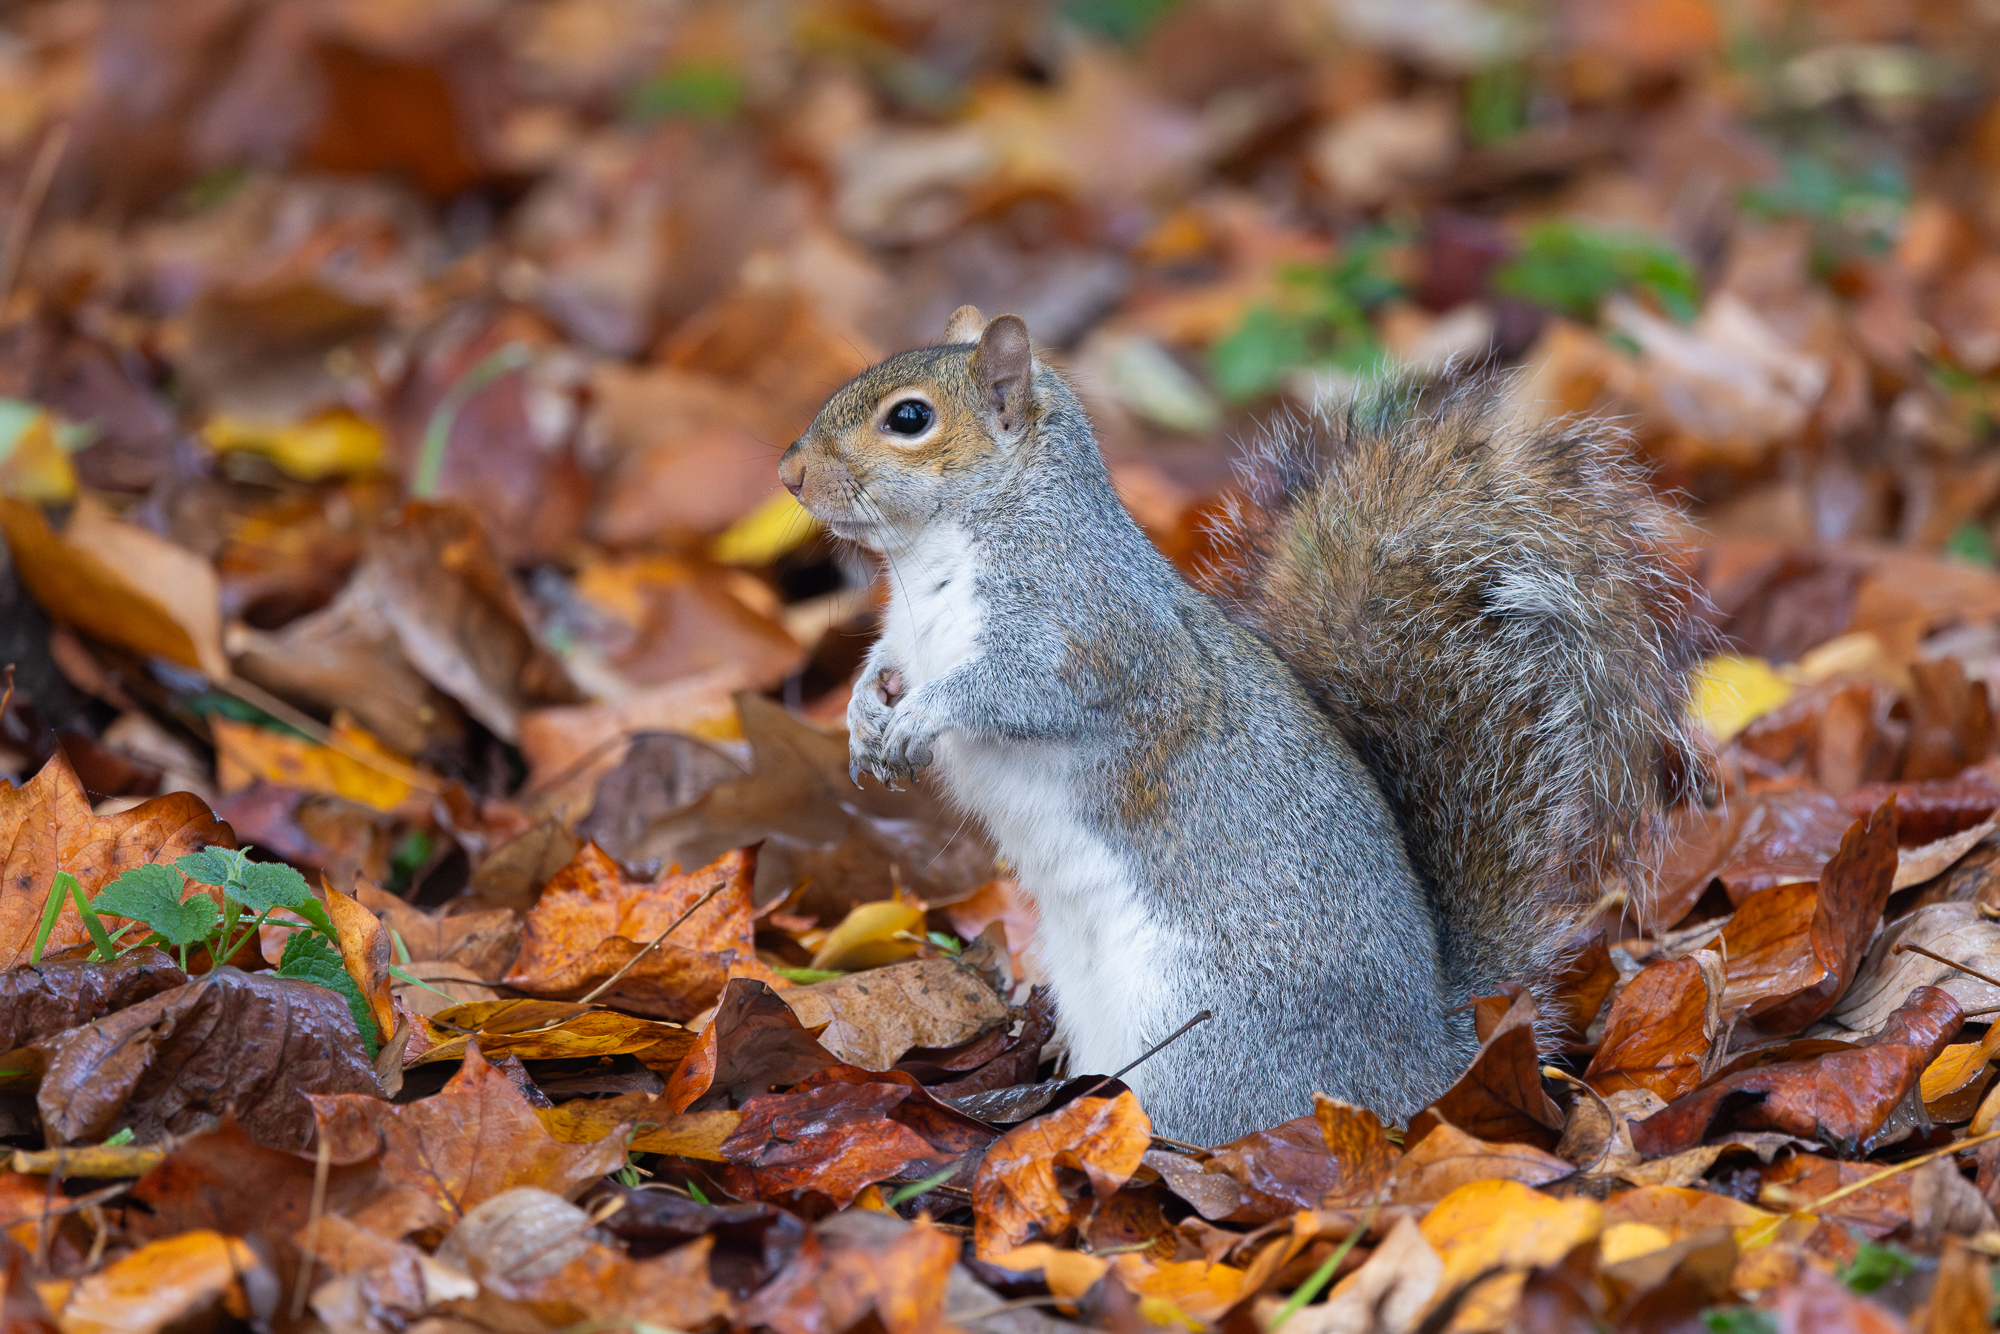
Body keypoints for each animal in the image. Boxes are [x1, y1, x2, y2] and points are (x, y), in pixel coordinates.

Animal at [777, 305, 1702, 1146]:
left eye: (909, 419)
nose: (789, 473)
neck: (938, 554)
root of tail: (1425, 1069)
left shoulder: (1086, 632)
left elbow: (1018, 691)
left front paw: (921, 718)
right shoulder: (907, 640)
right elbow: (882, 666)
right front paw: (864, 716)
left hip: (1203, 1033)